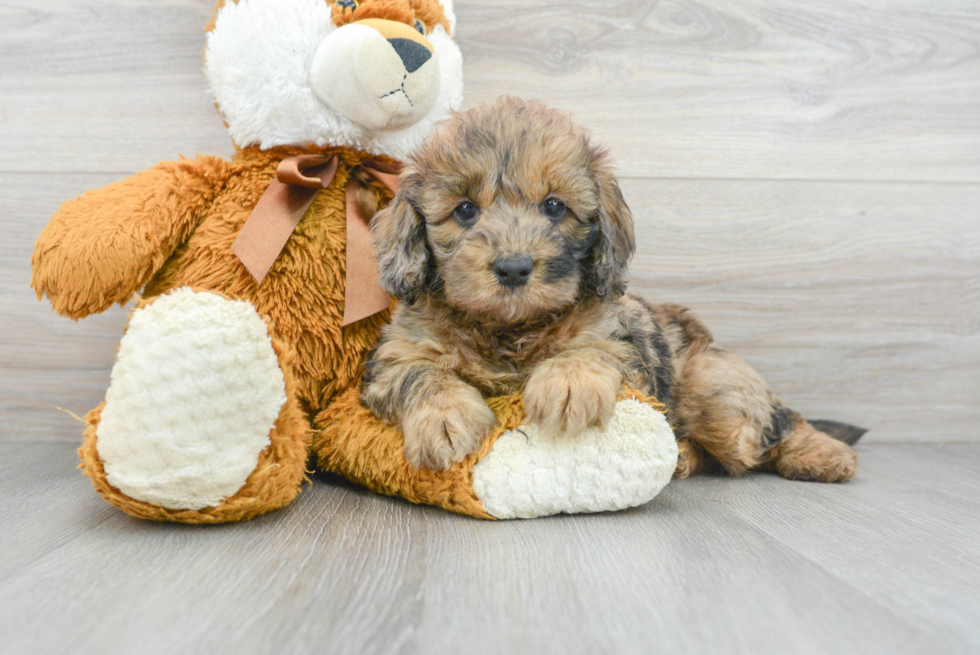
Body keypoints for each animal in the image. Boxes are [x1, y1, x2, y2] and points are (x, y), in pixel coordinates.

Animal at [360, 96, 856, 482]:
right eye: (465, 210)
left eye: (554, 207)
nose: (514, 268)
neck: (509, 328)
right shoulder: (394, 357)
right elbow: (419, 374)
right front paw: (444, 418)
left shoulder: (621, 342)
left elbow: (593, 347)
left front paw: (569, 383)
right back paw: (683, 459)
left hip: (720, 395)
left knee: (775, 426)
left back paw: (825, 454)